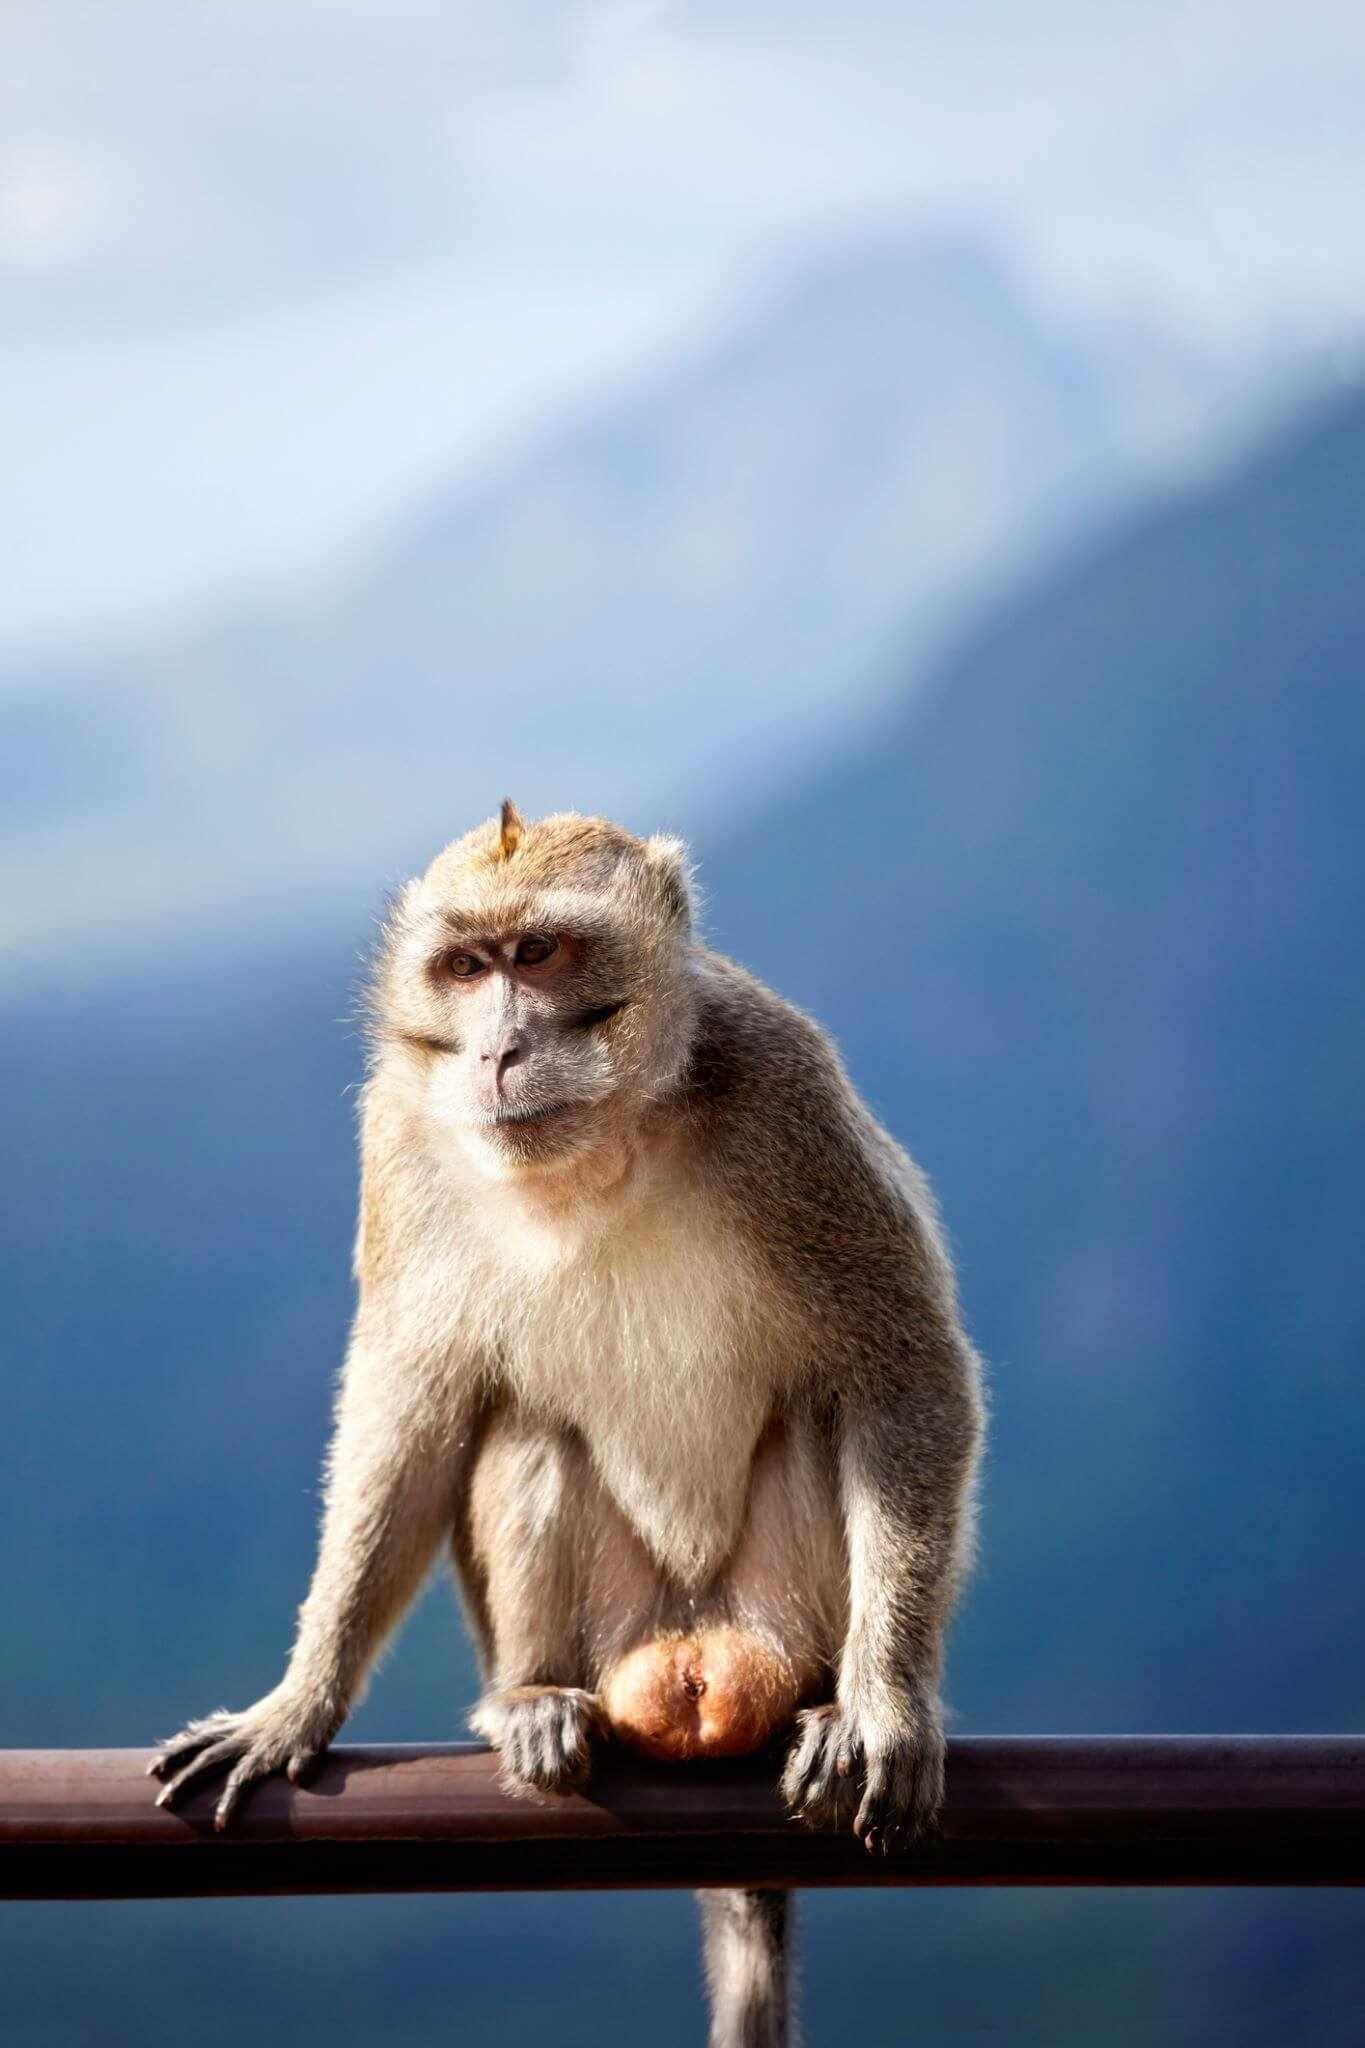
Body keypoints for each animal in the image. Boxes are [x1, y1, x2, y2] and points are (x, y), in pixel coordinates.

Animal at [151, 801, 984, 2048]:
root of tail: (695, 1644)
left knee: (821, 1414)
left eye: (538, 952)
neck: (600, 1147)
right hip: (612, 1627)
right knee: (529, 1436)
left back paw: (825, 1699)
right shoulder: (401, 1135)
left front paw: (884, 1702)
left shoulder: (786, 1087)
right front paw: (298, 1700)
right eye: (465, 968)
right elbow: (413, 1416)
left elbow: (901, 1372)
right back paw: (531, 1702)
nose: (496, 1051)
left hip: (780, 1608)